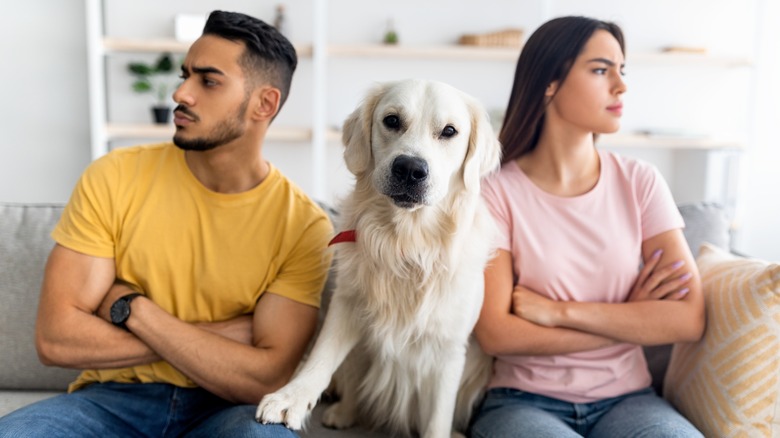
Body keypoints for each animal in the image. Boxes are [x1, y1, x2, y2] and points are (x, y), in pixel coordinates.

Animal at [254, 79, 500, 438]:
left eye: (449, 131)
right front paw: (291, 398)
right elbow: (321, 356)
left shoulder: (449, 349)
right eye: (392, 120)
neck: (406, 244)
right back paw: (343, 411)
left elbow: (438, 417)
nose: (410, 168)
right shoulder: (347, 303)